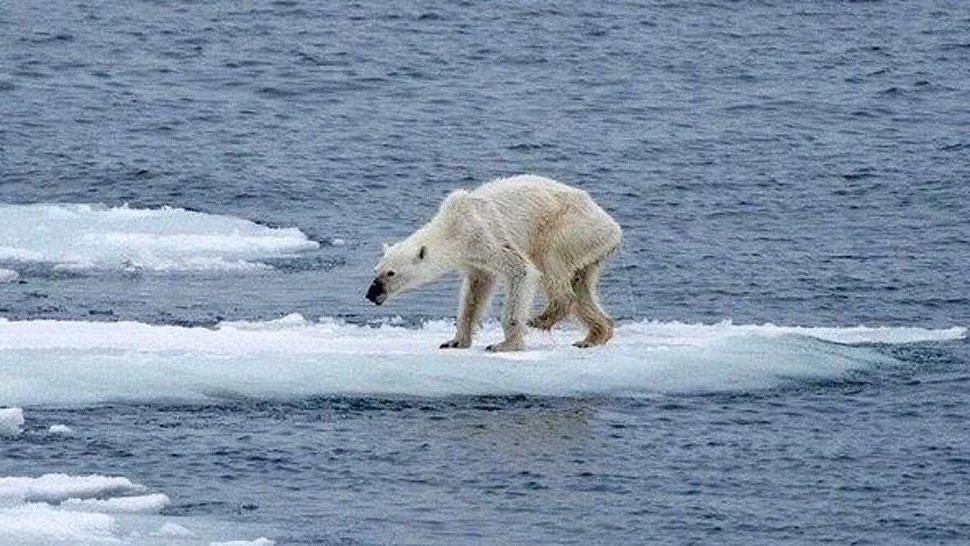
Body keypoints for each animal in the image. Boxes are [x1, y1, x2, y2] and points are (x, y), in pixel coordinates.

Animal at [364, 176, 620, 350]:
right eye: (376, 270)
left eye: (391, 273)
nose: (371, 294)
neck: (453, 225)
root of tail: (613, 227)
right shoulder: (474, 258)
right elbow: (476, 291)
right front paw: (455, 341)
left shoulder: (485, 235)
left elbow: (521, 270)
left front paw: (505, 344)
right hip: (590, 249)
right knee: (581, 286)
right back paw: (593, 336)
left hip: (570, 228)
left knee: (550, 262)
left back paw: (541, 318)